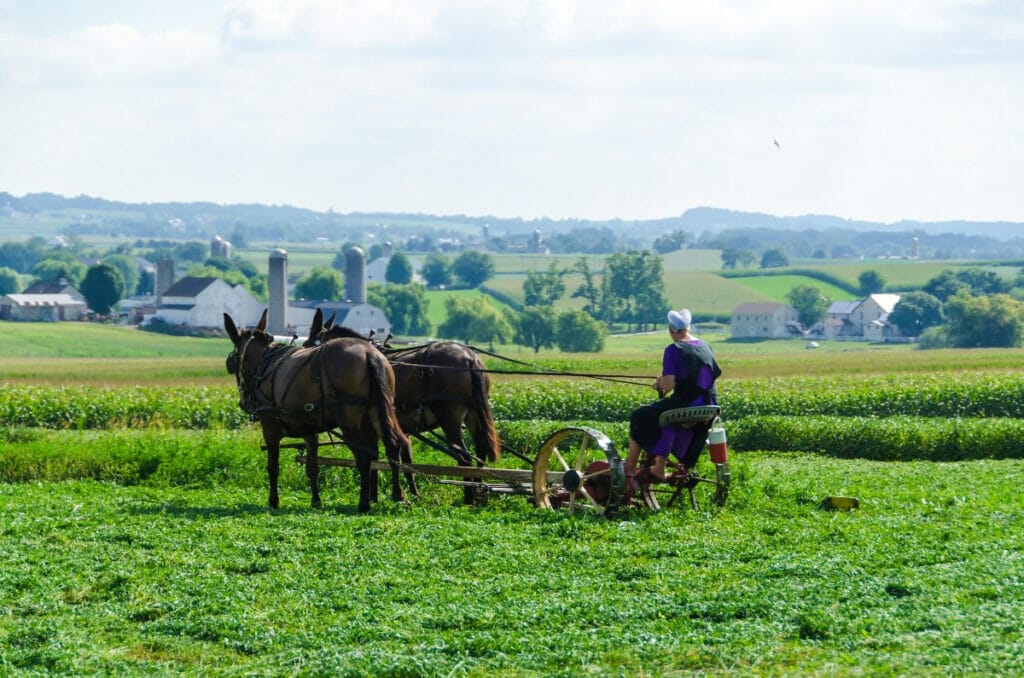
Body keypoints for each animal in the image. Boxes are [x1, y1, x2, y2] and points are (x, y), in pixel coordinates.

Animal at [224, 311, 415, 512]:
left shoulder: (270, 428)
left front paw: (273, 501)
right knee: (392, 445)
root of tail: (368, 353)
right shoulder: (310, 431)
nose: (243, 403)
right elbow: (312, 467)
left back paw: (364, 503)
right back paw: (398, 496)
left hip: (349, 421)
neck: (266, 364)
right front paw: (316, 501)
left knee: (364, 457)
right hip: (378, 411)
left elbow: (273, 467)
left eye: (234, 361)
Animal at [305, 309, 501, 503]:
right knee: (480, 451)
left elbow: (380, 456)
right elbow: (403, 459)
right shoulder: (397, 428)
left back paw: (468, 498)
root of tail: (470, 358)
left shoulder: (369, 425)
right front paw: (409, 494)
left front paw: (381, 495)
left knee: (464, 457)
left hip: (449, 417)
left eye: (309, 344)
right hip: (473, 414)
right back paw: (479, 492)